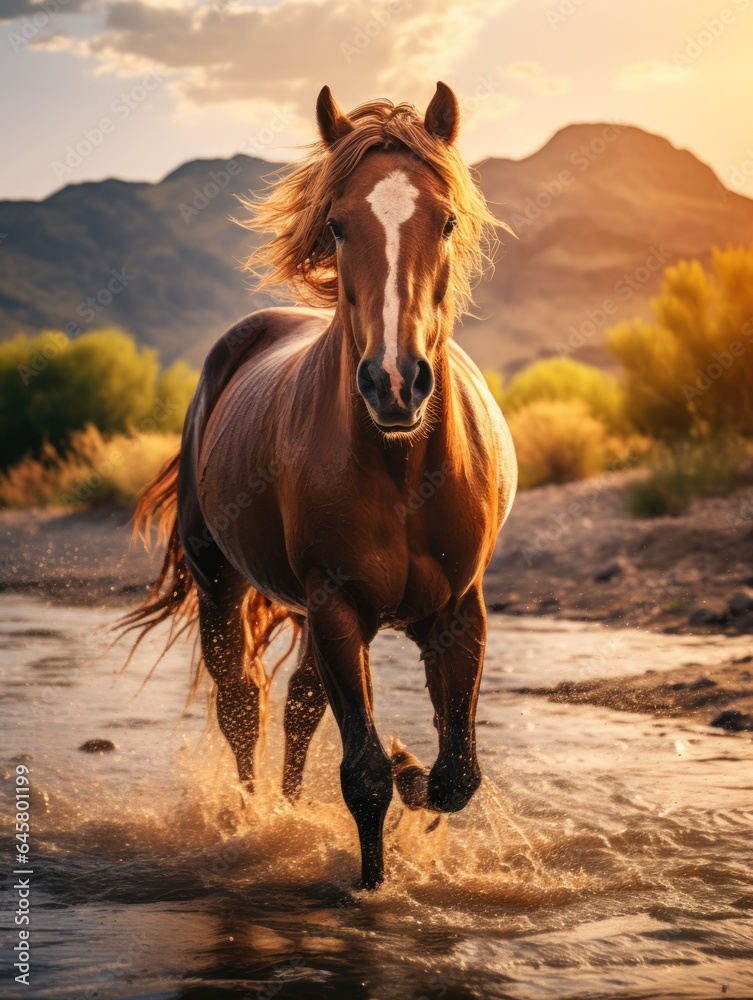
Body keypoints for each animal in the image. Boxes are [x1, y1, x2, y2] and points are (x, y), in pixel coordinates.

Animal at [122, 82, 517, 889]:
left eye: (447, 219)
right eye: (337, 224)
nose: (395, 383)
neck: (402, 472)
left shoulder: (458, 612)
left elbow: (457, 772)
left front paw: (412, 770)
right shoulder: (336, 606)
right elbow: (363, 774)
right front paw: (370, 885)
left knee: (301, 705)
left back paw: (289, 807)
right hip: (222, 583)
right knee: (243, 704)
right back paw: (252, 820)